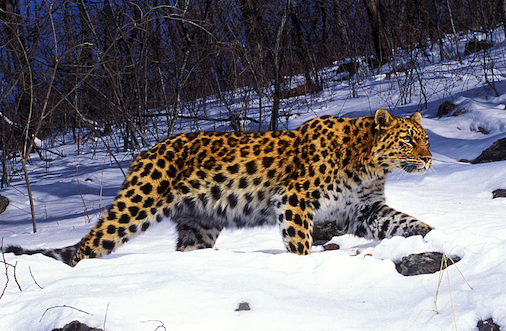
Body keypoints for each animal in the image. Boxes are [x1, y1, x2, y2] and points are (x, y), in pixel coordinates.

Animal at [3, 109, 432, 268]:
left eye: (425, 138)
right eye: (408, 140)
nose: (429, 158)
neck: (369, 165)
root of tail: (142, 153)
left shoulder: (363, 209)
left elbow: (402, 221)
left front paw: (432, 235)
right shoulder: (295, 199)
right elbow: (300, 243)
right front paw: (303, 267)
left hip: (199, 225)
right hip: (135, 207)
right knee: (89, 246)